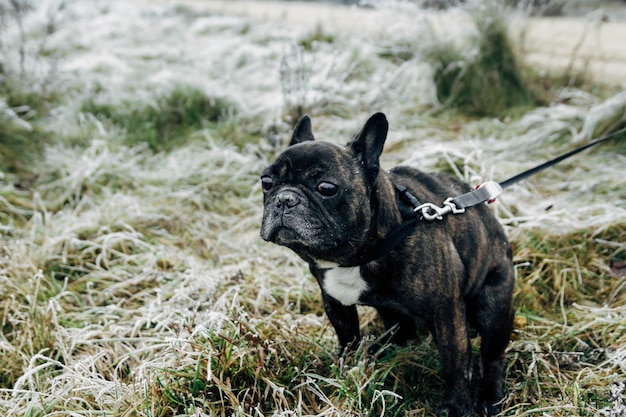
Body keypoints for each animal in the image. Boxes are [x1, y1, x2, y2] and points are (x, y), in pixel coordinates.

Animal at [258, 113, 512, 416]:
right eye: (266, 182)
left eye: (326, 188)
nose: (285, 199)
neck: (357, 256)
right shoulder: (335, 302)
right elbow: (348, 339)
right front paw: (348, 369)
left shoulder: (446, 313)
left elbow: (455, 365)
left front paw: (456, 406)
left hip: (493, 303)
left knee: (492, 356)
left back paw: (489, 397)